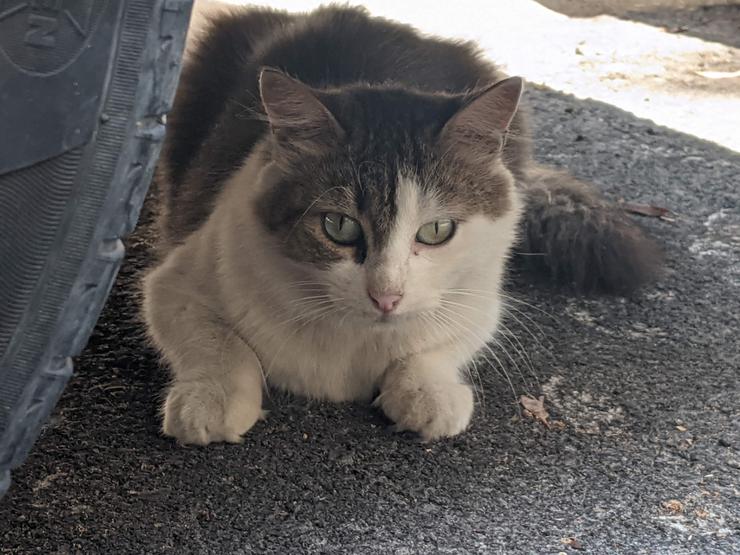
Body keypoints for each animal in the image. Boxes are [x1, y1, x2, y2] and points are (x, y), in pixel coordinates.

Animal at [142, 4, 660, 448]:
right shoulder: (174, 281)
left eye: (437, 231)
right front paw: (211, 401)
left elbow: (437, 346)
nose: (386, 297)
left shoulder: (480, 299)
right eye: (338, 226)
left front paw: (429, 394)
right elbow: (219, 343)